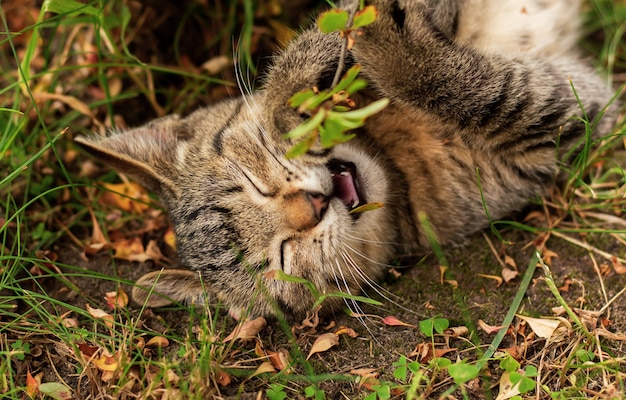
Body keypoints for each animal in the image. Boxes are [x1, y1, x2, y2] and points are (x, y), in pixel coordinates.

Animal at [74, 0, 616, 318]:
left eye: (254, 180)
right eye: (280, 262)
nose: (313, 208)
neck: (388, 152)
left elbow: (310, 46)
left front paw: (290, 101)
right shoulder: (564, 124)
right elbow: (476, 90)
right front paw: (394, 50)